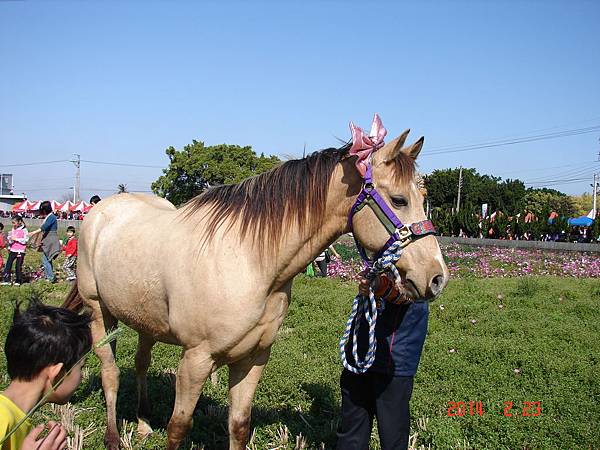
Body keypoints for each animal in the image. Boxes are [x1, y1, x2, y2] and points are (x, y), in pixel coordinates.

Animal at [62, 125, 446, 448]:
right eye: (399, 200)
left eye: (422, 198)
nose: (436, 276)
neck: (250, 261)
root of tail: (101, 212)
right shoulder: (195, 360)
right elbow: (178, 428)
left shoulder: (253, 358)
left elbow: (239, 426)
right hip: (99, 313)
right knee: (111, 374)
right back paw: (114, 436)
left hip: (145, 321)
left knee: (141, 363)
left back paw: (142, 423)